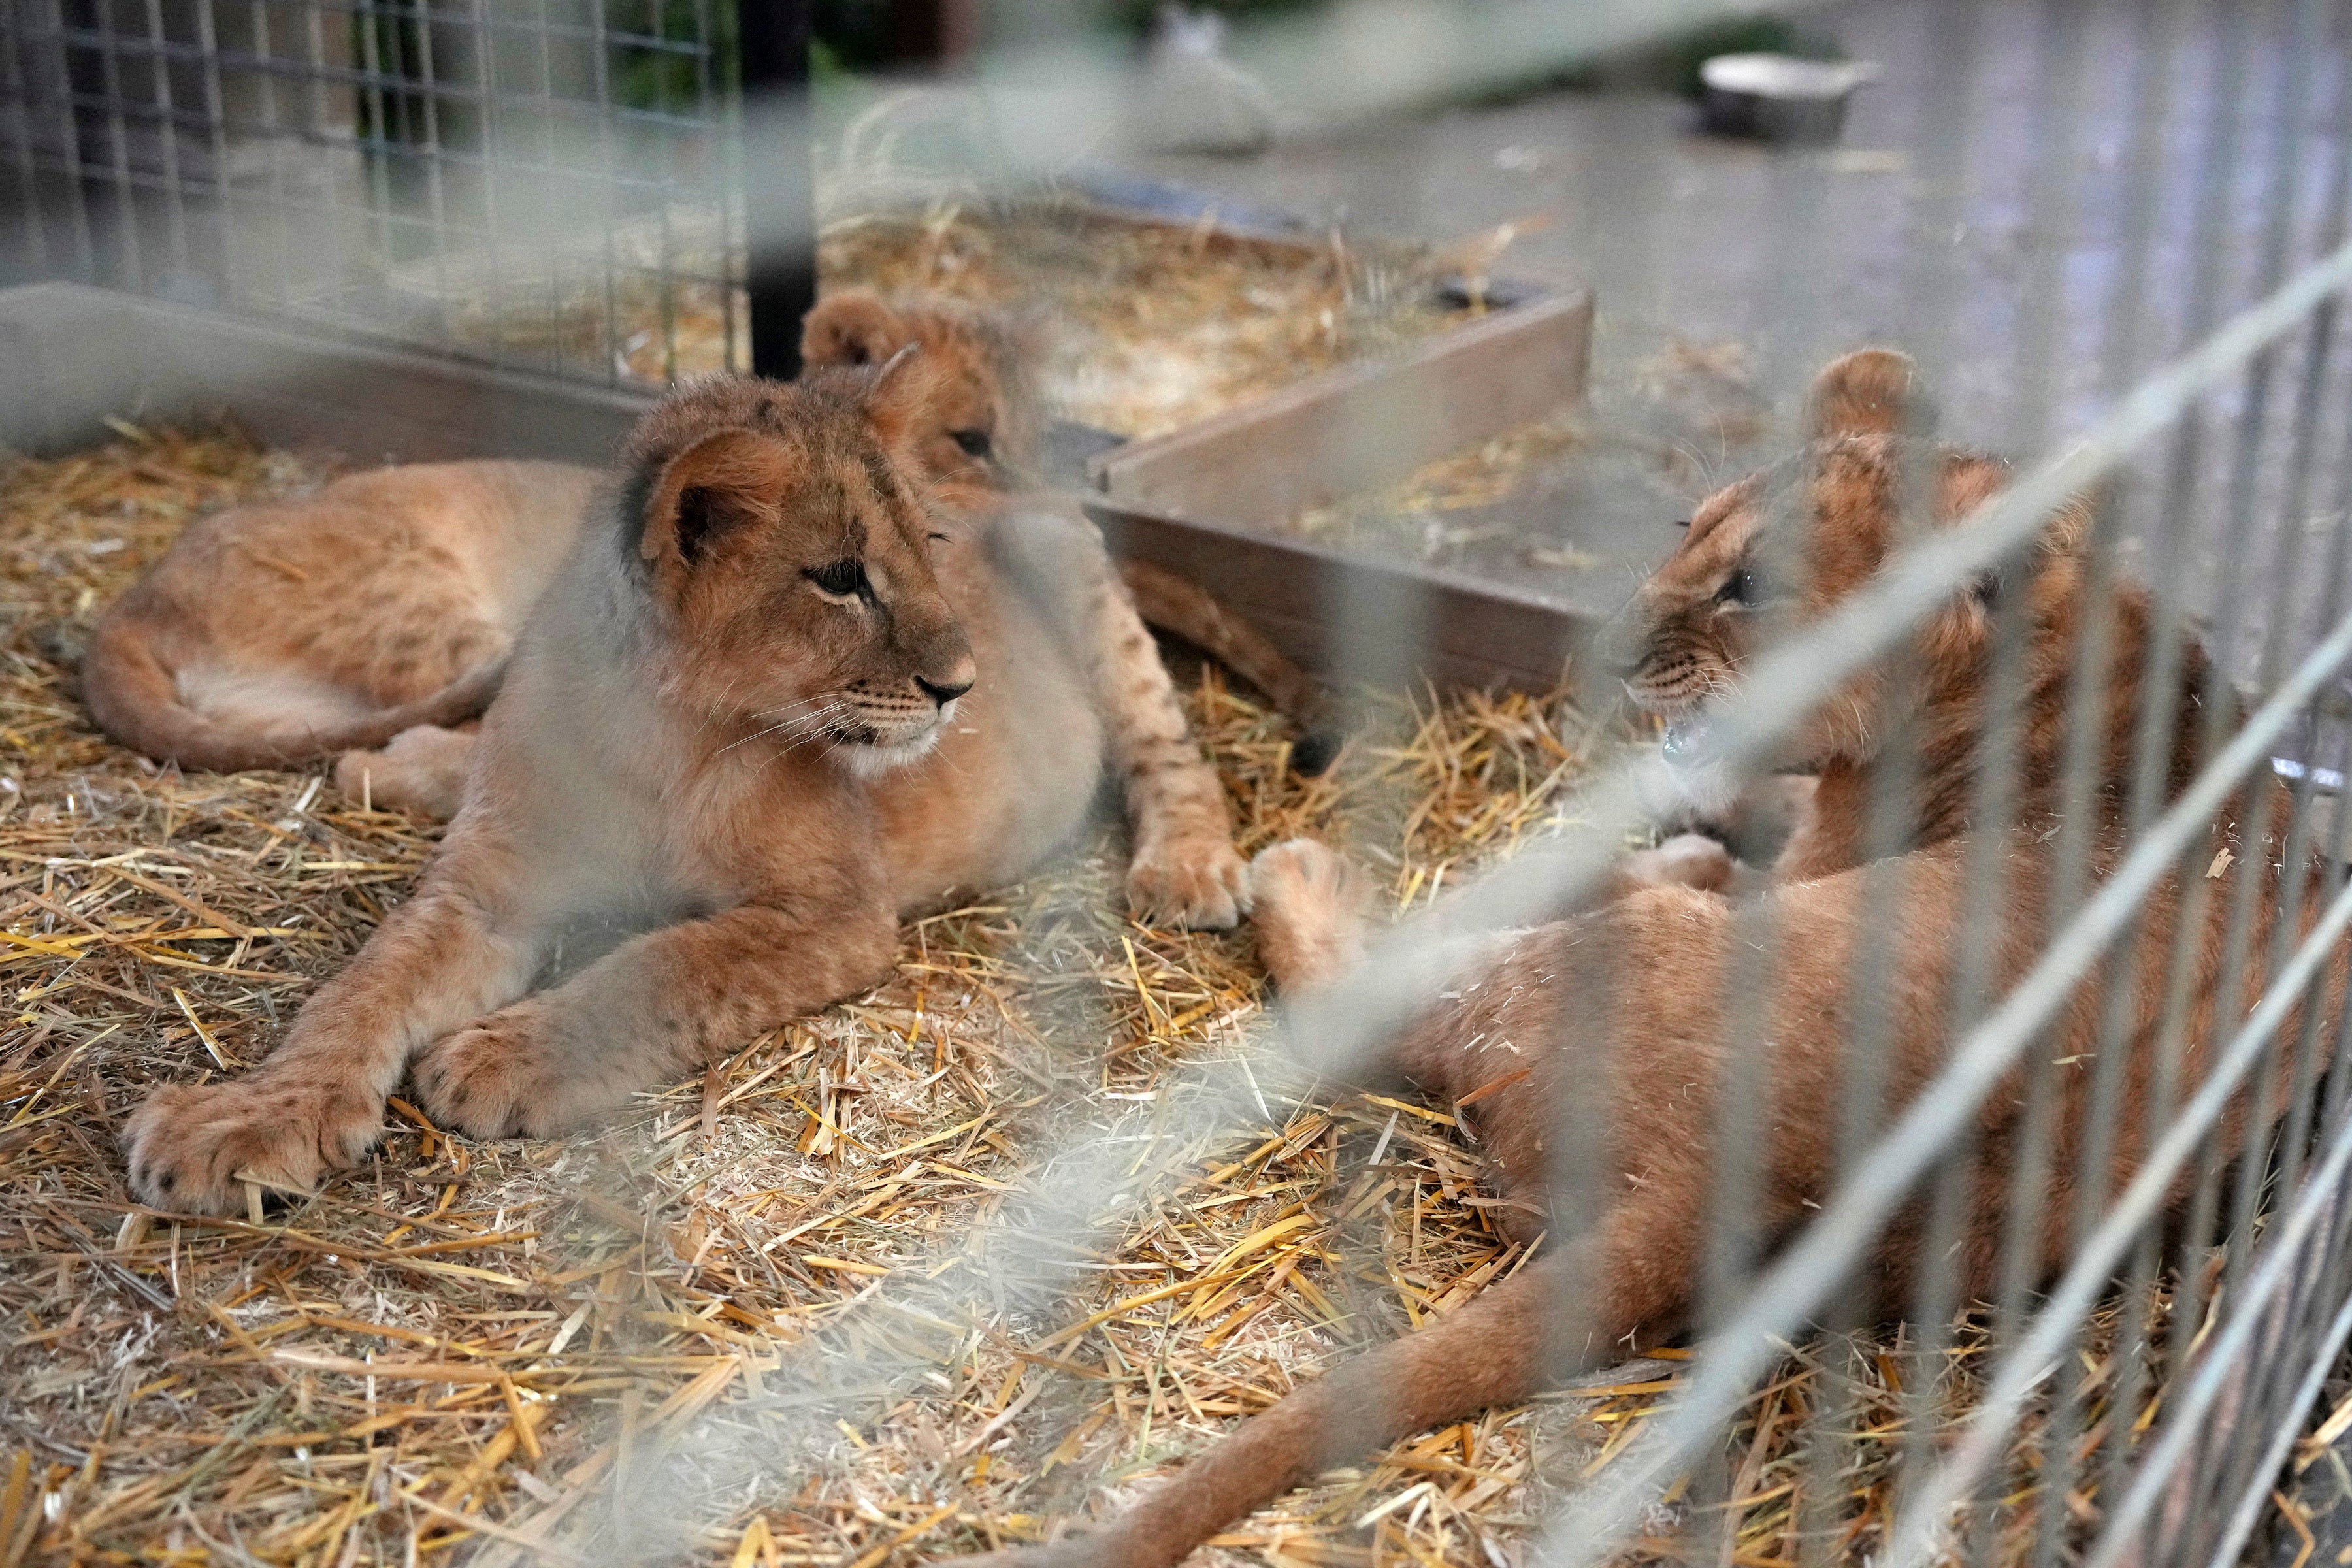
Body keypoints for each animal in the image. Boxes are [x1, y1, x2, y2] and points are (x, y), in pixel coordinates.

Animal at [119, 354, 1246, 1215]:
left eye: (930, 550)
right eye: (841, 578)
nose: (961, 686)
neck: (654, 739)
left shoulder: (838, 911)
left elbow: (665, 965)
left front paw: (497, 1061)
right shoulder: (486, 886)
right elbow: (361, 990)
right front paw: (246, 1120)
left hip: (1072, 569)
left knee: (1170, 749)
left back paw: (1190, 871)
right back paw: (388, 766)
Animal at [937, 350, 2339, 1568]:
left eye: (1754, 586)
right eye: (1688, 526)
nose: (1608, 653)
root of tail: (1733, 1195)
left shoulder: (1808, 864)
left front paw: (1681, 836)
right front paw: (1704, 822)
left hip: (1592, 968)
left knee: (1393, 1002)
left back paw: (1311, 878)